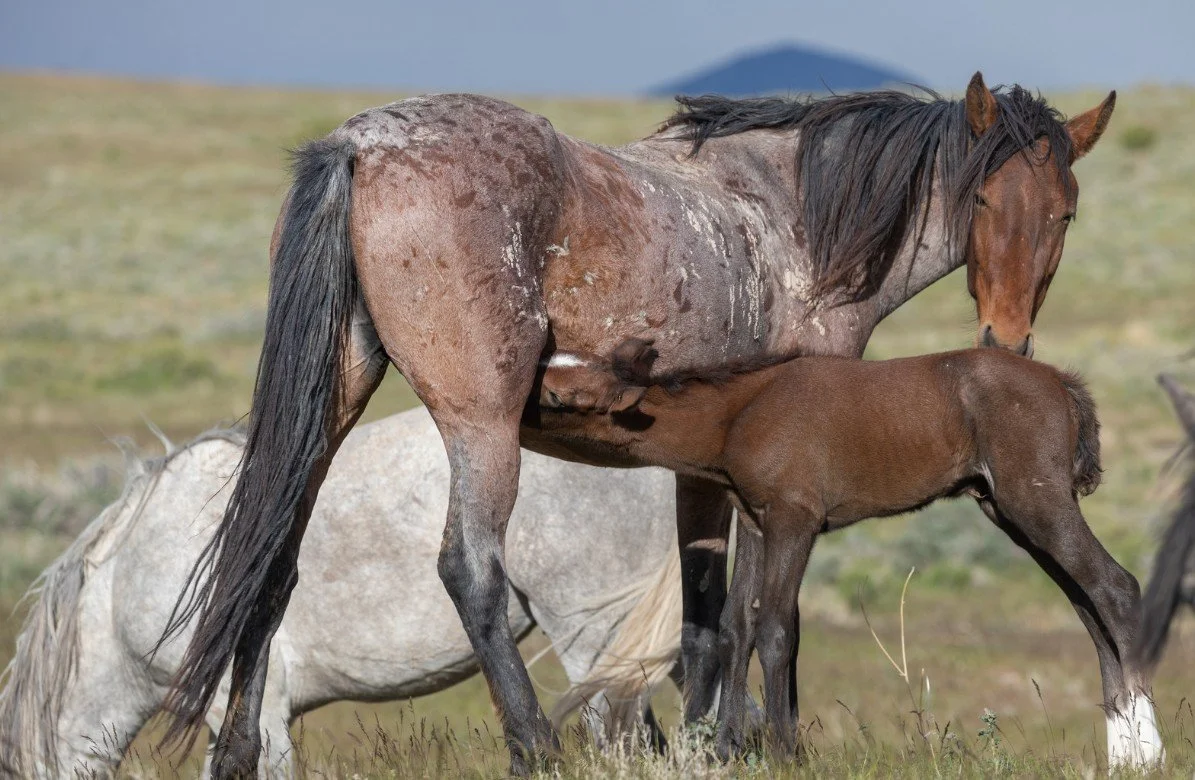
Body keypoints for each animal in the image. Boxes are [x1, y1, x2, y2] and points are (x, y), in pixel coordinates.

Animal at [538, 338, 1162, 767]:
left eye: (557, 396)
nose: (517, 404)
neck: (742, 411)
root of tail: (1061, 381)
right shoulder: (757, 521)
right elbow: (737, 624)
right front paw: (725, 751)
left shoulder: (795, 519)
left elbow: (776, 628)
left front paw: (784, 755)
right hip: (1007, 509)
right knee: (1086, 603)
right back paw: (1122, 751)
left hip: (1035, 500)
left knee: (1116, 587)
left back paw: (1147, 752)